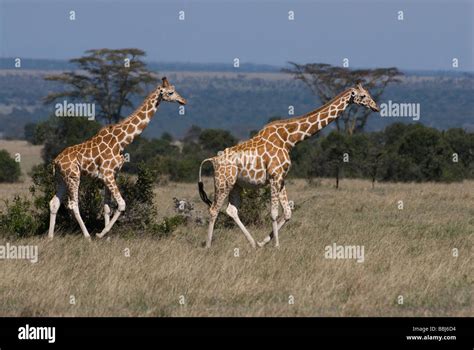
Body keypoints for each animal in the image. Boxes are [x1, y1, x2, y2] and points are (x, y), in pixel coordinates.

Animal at [48, 77, 187, 241]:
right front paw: (101, 233)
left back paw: (50, 237)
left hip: (61, 179)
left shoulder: (112, 174)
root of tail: (56, 161)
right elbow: (121, 204)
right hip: (73, 177)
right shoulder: (107, 174)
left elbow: (107, 207)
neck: (121, 142)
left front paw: (107, 237)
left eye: (175, 89)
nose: (183, 100)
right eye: (170, 92)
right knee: (73, 204)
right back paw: (87, 236)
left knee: (54, 203)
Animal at [198, 84, 380, 249]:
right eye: (363, 96)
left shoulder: (282, 178)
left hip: (236, 184)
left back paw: (253, 243)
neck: (289, 140)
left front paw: (264, 242)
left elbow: (287, 213)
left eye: (368, 92)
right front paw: (277, 246)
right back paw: (208, 245)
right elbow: (273, 213)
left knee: (231, 210)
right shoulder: (274, 176)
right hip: (224, 183)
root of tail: (213, 160)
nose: (376, 107)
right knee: (214, 210)